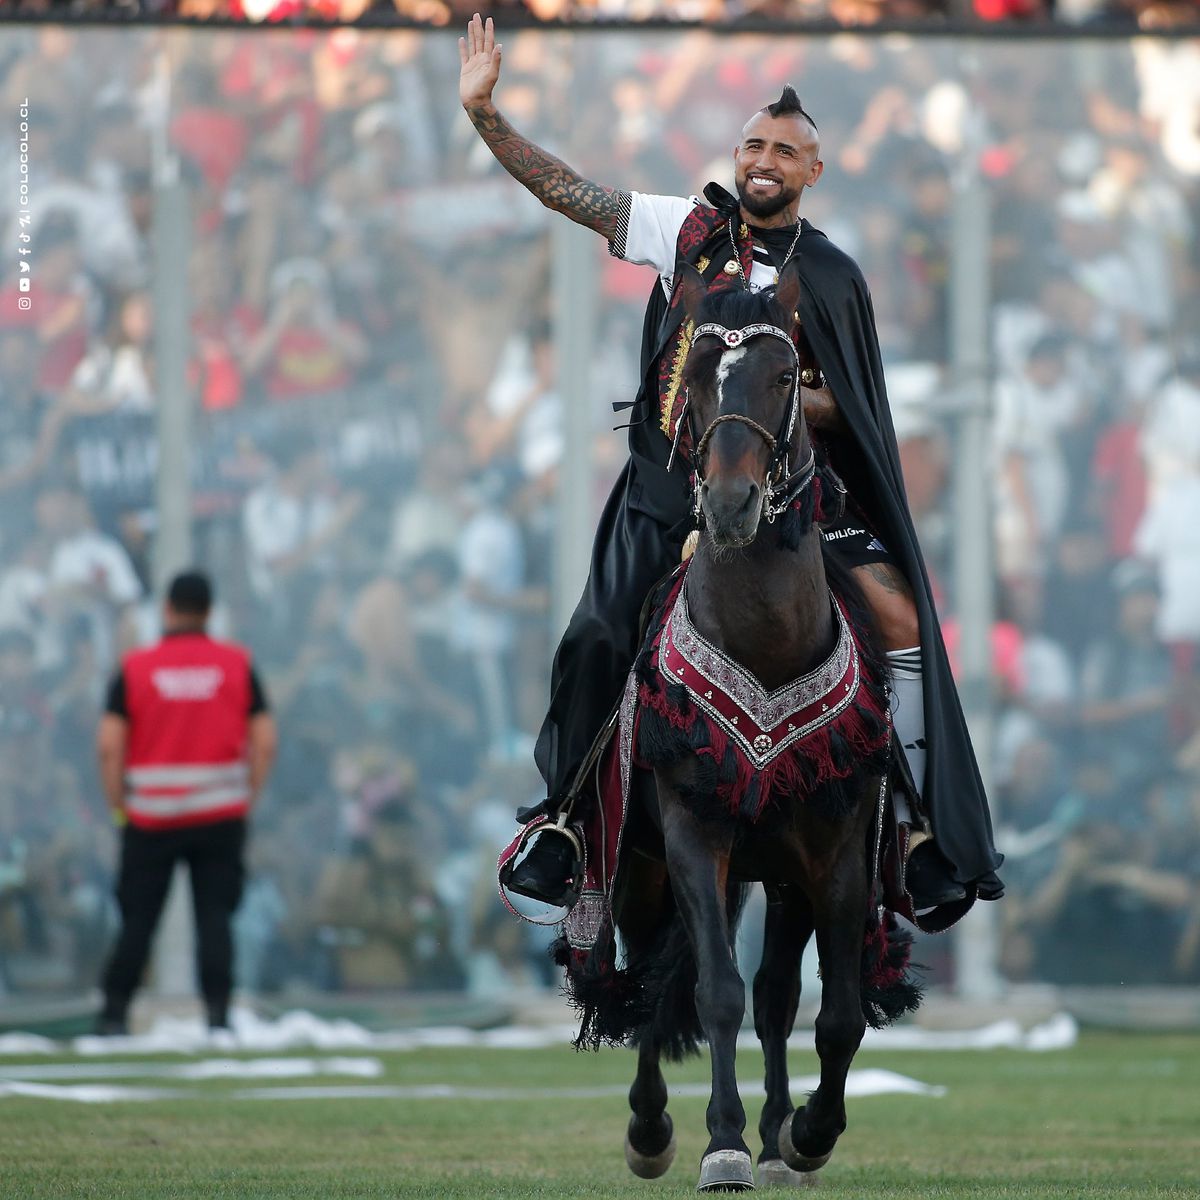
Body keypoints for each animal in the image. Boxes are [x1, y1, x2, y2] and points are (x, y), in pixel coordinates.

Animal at [552, 262, 916, 1190]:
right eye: (698, 382)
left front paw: (809, 1133)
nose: (729, 503)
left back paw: (782, 1136)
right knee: (654, 976)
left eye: (786, 376)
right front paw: (720, 1145)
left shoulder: (834, 850)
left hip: (780, 872)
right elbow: (710, 989)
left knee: (777, 996)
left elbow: (838, 1012)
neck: (766, 637)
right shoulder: (691, 834)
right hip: (648, 862)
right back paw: (653, 1129)